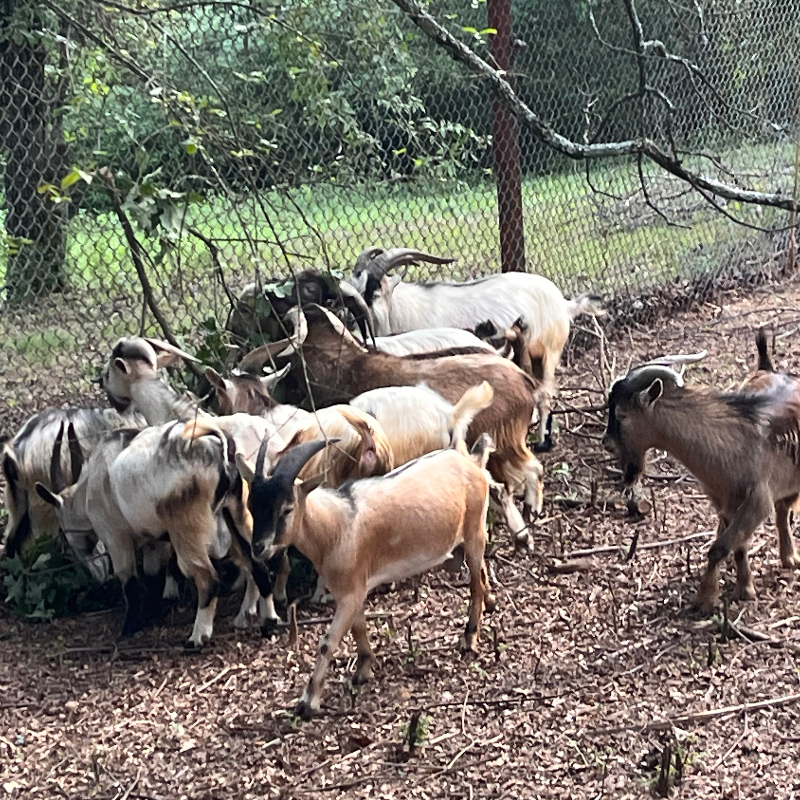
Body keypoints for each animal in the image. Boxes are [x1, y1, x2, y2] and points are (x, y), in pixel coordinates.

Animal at [236, 432, 497, 718]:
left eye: (287, 509)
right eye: (251, 505)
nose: (259, 548)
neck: (336, 527)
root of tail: (473, 462)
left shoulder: (351, 593)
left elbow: (327, 642)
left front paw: (308, 702)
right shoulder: (353, 590)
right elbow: (358, 627)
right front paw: (363, 670)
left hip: (474, 532)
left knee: (475, 584)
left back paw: (469, 638)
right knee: (481, 575)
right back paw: (490, 604)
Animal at [348, 246, 604, 449]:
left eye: (374, 294)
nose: (352, 321)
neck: (401, 308)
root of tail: (564, 302)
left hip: (550, 351)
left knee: (546, 393)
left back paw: (542, 441)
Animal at [602, 345, 800, 613]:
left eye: (622, 414)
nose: (607, 443)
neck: (730, 444)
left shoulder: (757, 501)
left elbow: (720, 547)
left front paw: (704, 599)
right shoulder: (724, 501)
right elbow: (738, 545)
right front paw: (744, 588)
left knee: (783, 510)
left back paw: (790, 558)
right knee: (782, 511)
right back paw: (788, 557)